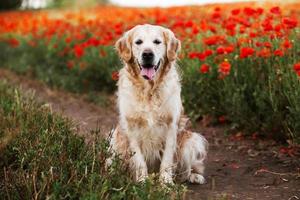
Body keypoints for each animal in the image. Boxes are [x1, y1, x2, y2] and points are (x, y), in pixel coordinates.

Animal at [108, 24, 209, 184]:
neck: (149, 90)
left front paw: (166, 183)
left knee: (185, 171)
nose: (147, 54)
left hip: (191, 141)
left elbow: (167, 160)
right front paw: (142, 181)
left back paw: (194, 176)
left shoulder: (171, 125)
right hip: (114, 138)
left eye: (157, 42)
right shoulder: (131, 126)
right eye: (138, 42)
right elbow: (139, 159)